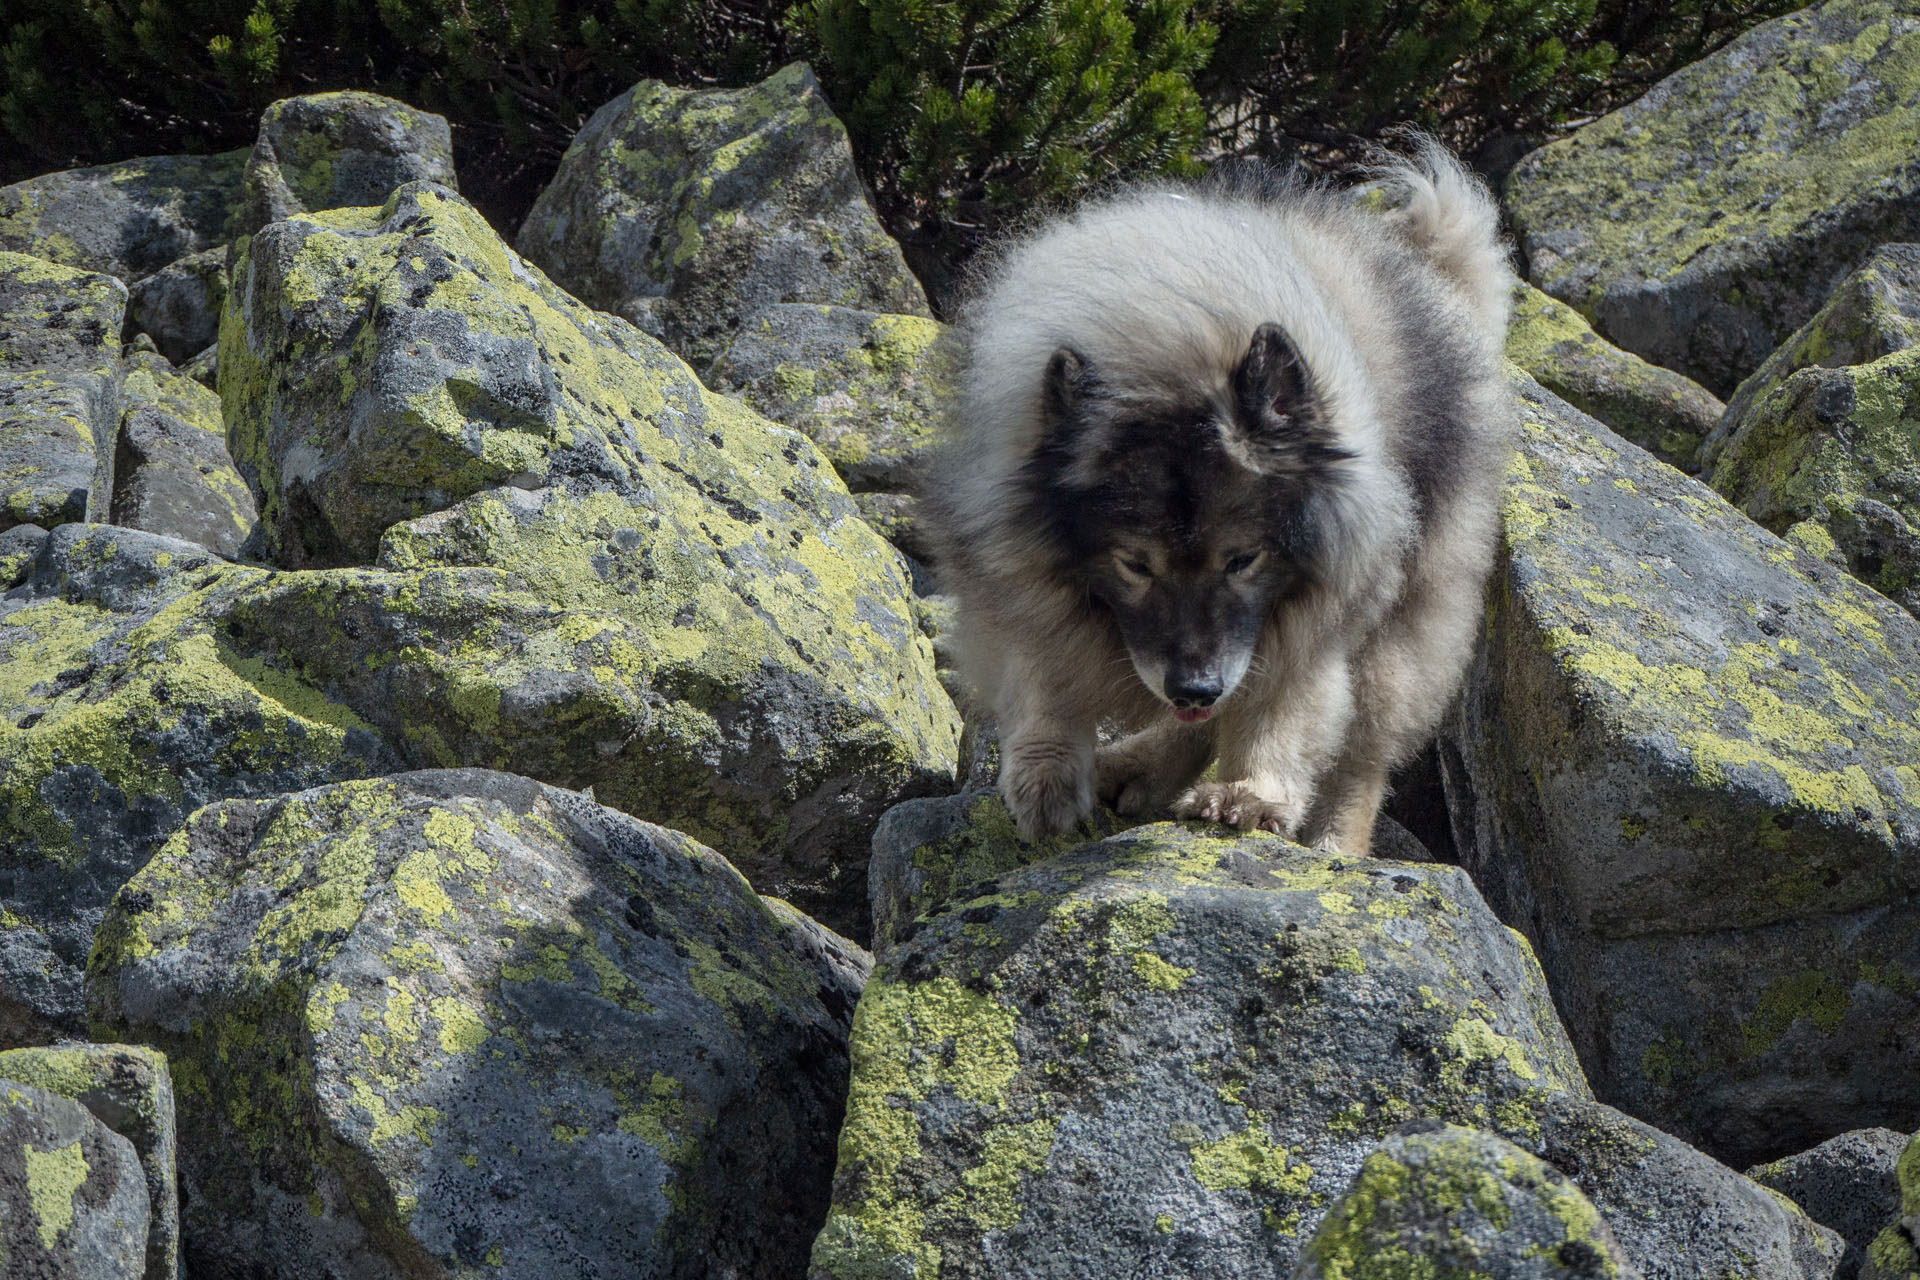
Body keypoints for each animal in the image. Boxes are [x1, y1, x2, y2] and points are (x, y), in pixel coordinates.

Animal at [917, 142, 1512, 852]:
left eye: (1243, 560)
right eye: (1135, 564)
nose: (1196, 687)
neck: (1173, 346)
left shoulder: (1314, 610)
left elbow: (1280, 707)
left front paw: (1251, 794)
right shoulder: (1020, 579)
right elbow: (1044, 676)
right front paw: (1047, 774)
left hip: (1409, 619)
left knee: (1361, 758)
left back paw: (1334, 846)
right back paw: (1139, 767)